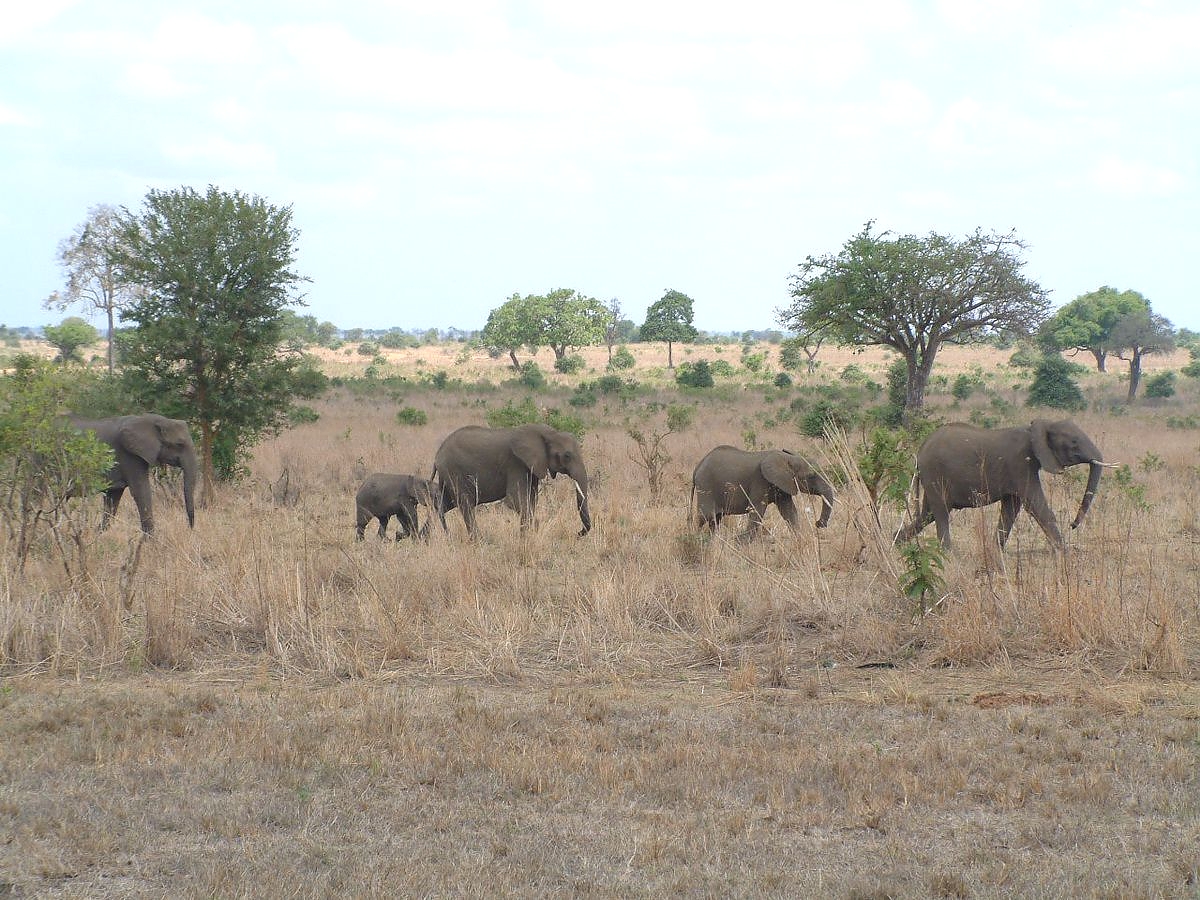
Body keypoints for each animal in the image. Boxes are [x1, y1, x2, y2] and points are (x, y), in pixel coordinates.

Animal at [68, 413, 197, 534]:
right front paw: (150, 542)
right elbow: (141, 491)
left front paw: (98, 534)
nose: (190, 529)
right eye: (179, 444)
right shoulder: (129, 455)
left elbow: (113, 497)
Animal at [432, 424, 591, 536]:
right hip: (454, 472)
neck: (549, 433)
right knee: (465, 506)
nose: (578, 533)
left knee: (443, 505)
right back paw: (478, 541)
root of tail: (437, 455)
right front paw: (531, 531)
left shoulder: (530, 467)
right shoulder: (516, 464)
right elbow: (515, 500)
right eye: (567, 456)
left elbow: (531, 500)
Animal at [692, 445, 835, 541]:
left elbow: (789, 511)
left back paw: (712, 540)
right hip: (705, 486)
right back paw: (695, 538)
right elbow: (757, 510)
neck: (787, 458)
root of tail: (698, 466)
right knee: (704, 516)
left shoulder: (782, 485)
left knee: (715, 519)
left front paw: (800, 539)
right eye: (810, 476)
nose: (818, 523)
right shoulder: (760, 481)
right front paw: (741, 541)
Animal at [895, 419, 1107, 550]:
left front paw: (995, 551)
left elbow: (1011, 509)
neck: (1037, 427)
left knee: (927, 515)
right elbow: (1036, 506)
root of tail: (920, 451)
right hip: (934, 472)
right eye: (1074, 442)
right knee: (940, 512)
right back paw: (947, 554)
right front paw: (1065, 554)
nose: (1072, 525)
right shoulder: (1020, 464)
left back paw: (895, 541)